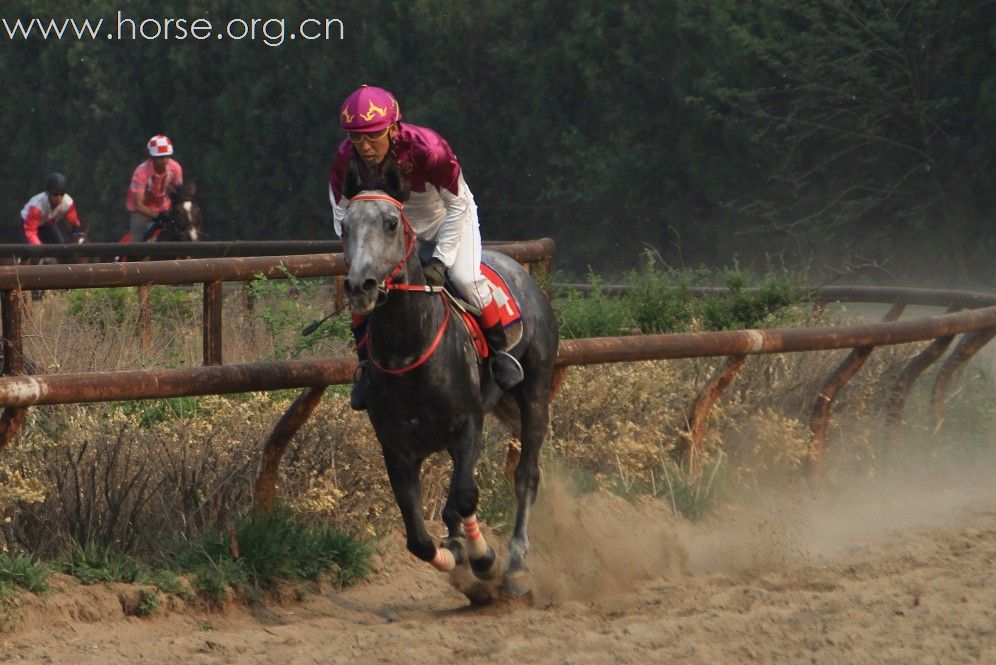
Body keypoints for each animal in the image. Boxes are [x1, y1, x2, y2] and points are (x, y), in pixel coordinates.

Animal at [342, 163, 560, 600]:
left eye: (391, 223)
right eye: (345, 226)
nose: (360, 286)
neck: (409, 353)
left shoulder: (467, 426)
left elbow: (463, 496)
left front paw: (483, 558)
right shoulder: (396, 448)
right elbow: (418, 538)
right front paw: (456, 558)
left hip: (535, 391)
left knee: (525, 477)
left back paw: (514, 563)